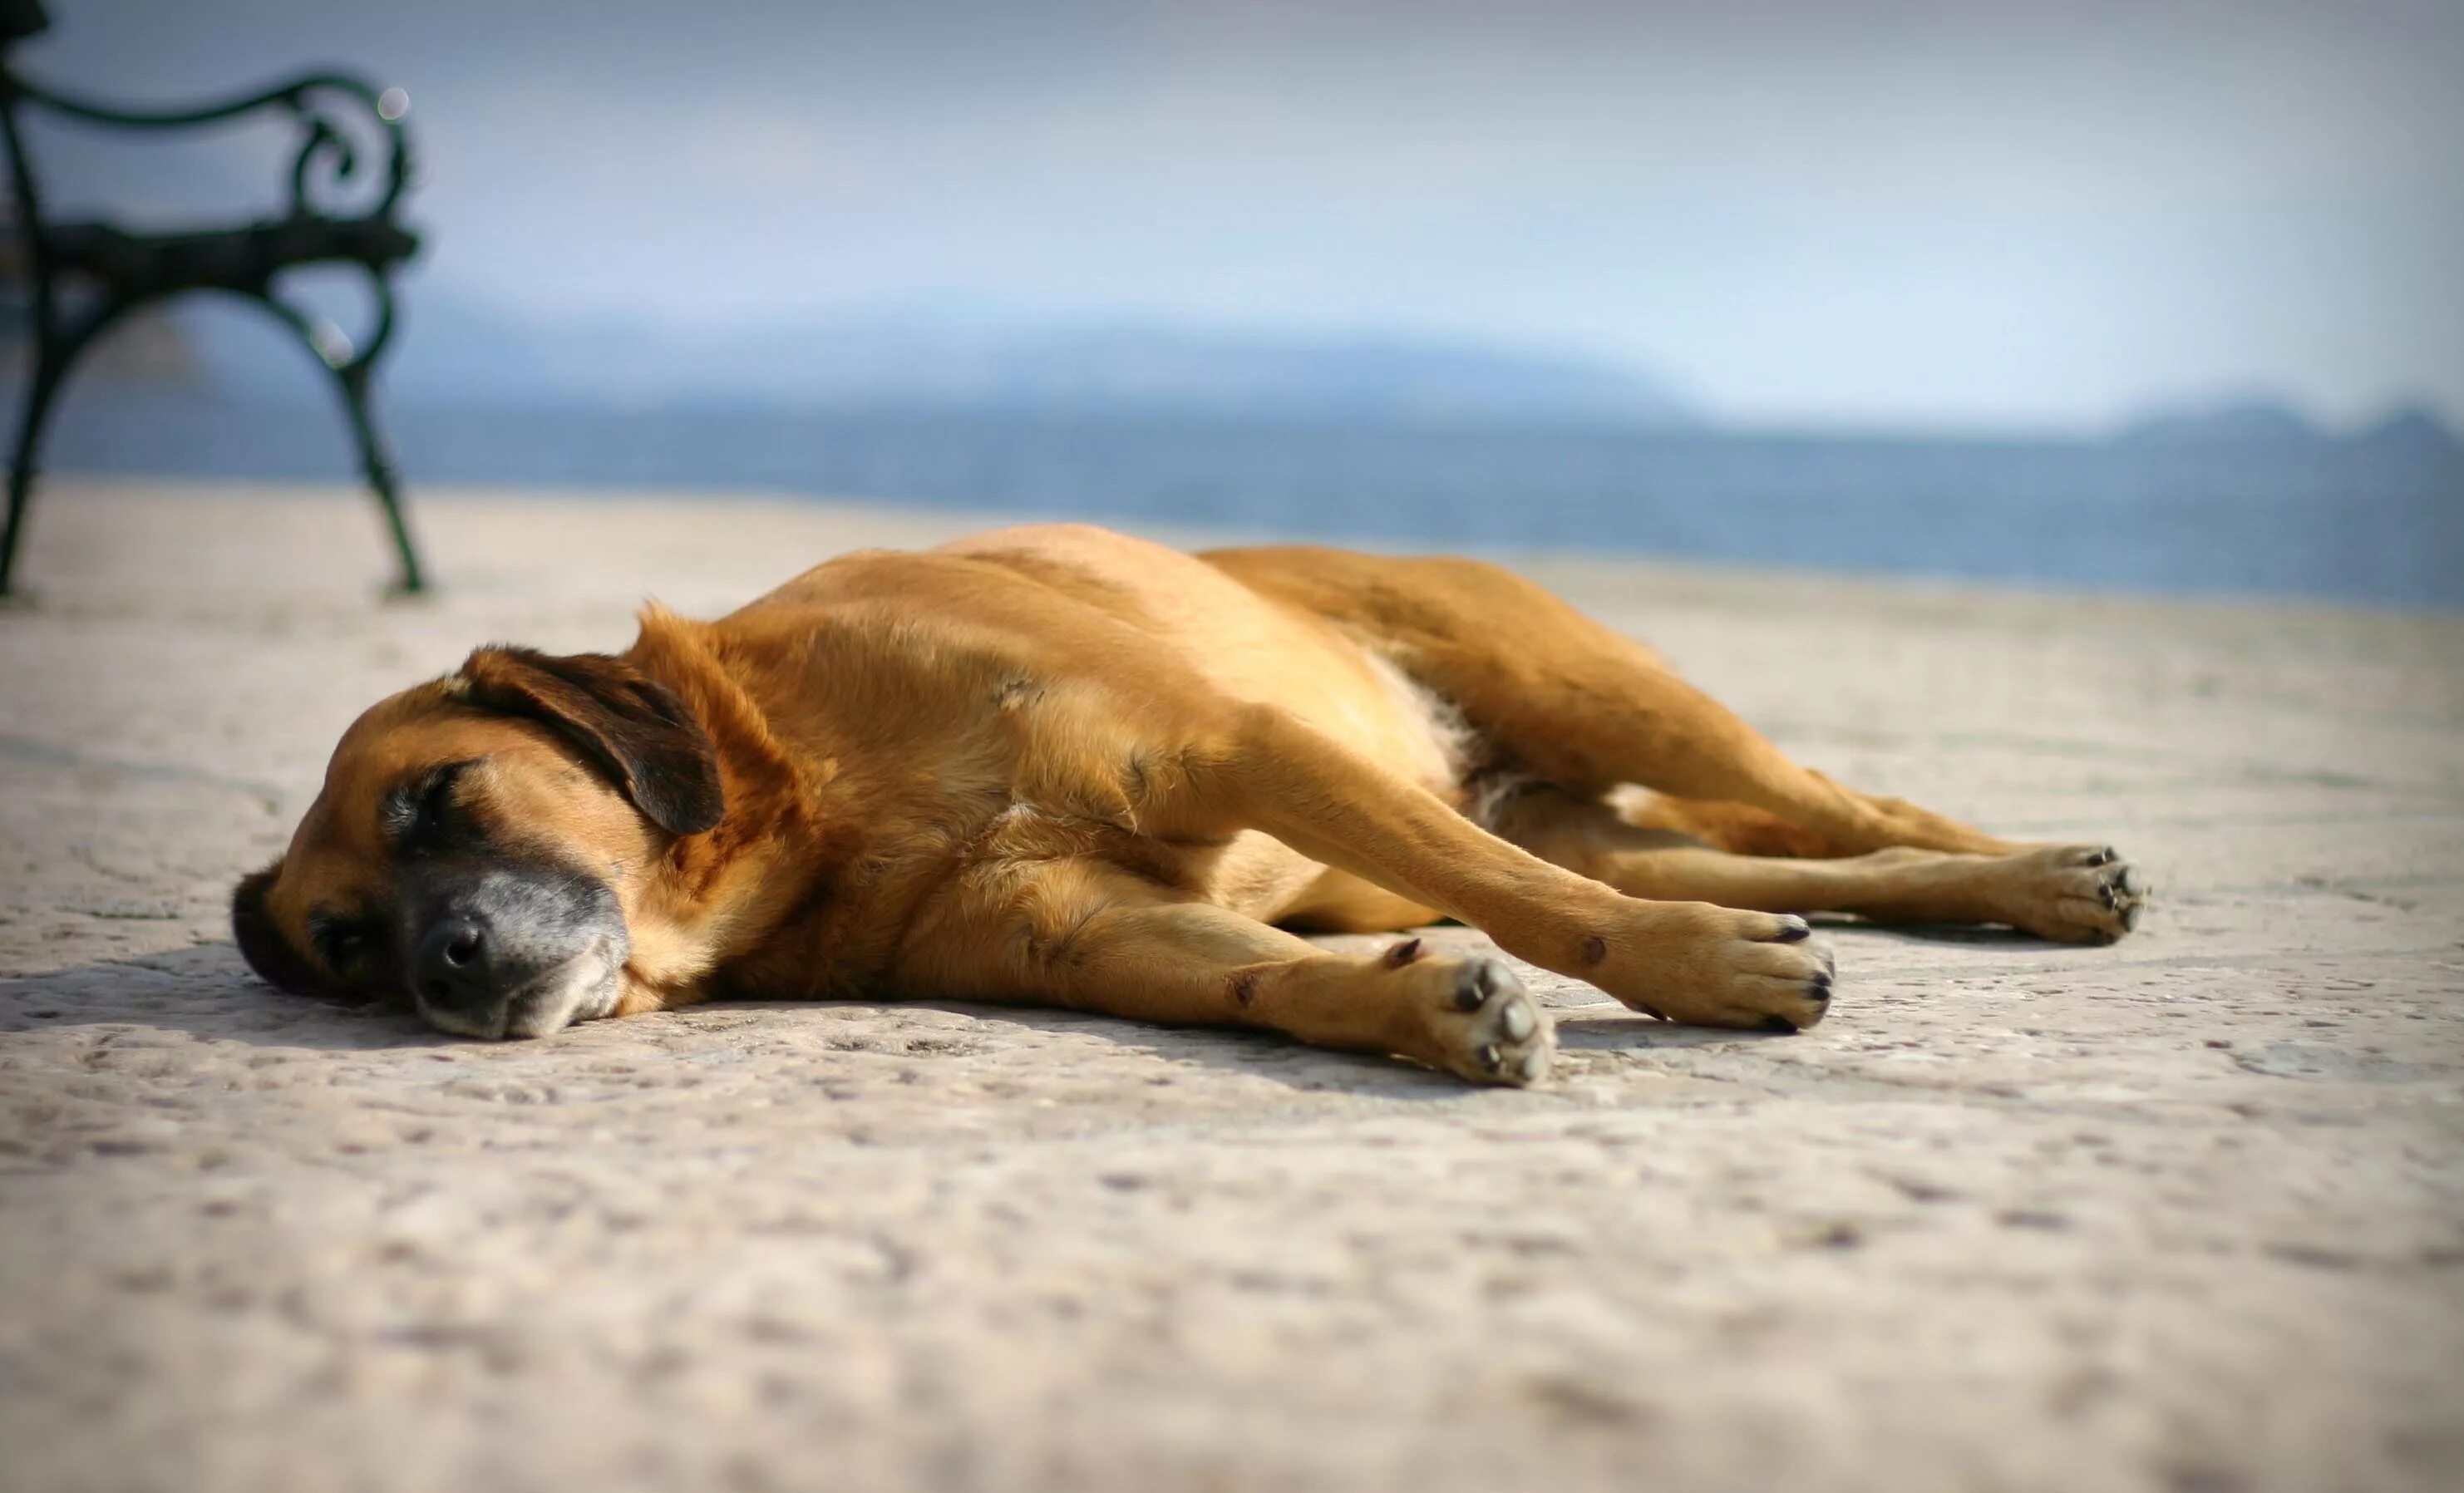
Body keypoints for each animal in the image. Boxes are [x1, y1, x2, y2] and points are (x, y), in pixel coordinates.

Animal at [239, 527, 2148, 1088]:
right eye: (342, 947)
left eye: (440, 797)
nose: (448, 968)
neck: (808, 787)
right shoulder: (1086, 934)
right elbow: (1266, 981)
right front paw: (1431, 1014)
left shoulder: (1232, 748)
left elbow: (1530, 907)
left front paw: (1687, 970)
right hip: (1567, 795)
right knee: (1811, 843)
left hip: (1604, 691)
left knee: (1842, 792)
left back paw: (2050, 875)